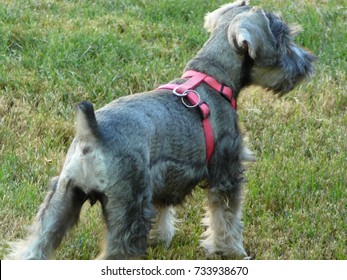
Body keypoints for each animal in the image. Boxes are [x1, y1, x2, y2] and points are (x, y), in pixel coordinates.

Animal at [6, 0, 316, 260]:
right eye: (284, 39)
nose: (308, 62)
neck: (212, 77)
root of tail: (92, 135)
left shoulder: (163, 181)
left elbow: (162, 210)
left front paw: (161, 239)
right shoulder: (226, 172)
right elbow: (225, 218)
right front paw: (231, 251)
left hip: (60, 201)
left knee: (33, 247)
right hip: (127, 211)